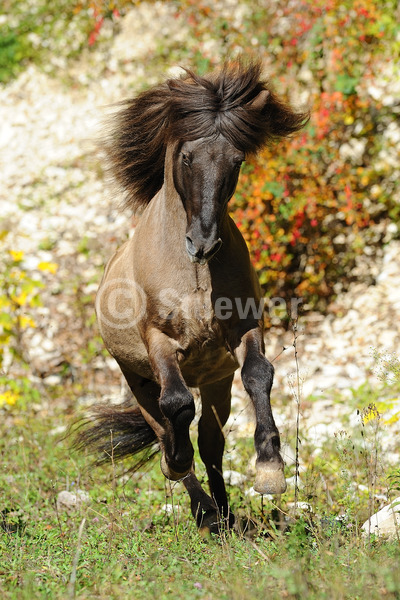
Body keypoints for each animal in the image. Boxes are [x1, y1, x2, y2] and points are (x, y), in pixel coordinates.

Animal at [76, 58, 308, 532]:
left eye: (237, 160)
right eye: (186, 156)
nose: (203, 243)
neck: (196, 274)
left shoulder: (243, 328)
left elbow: (258, 375)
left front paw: (270, 470)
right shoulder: (159, 341)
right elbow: (177, 407)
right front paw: (179, 464)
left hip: (216, 381)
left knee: (211, 442)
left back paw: (224, 514)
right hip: (138, 378)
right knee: (167, 429)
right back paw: (202, 507)